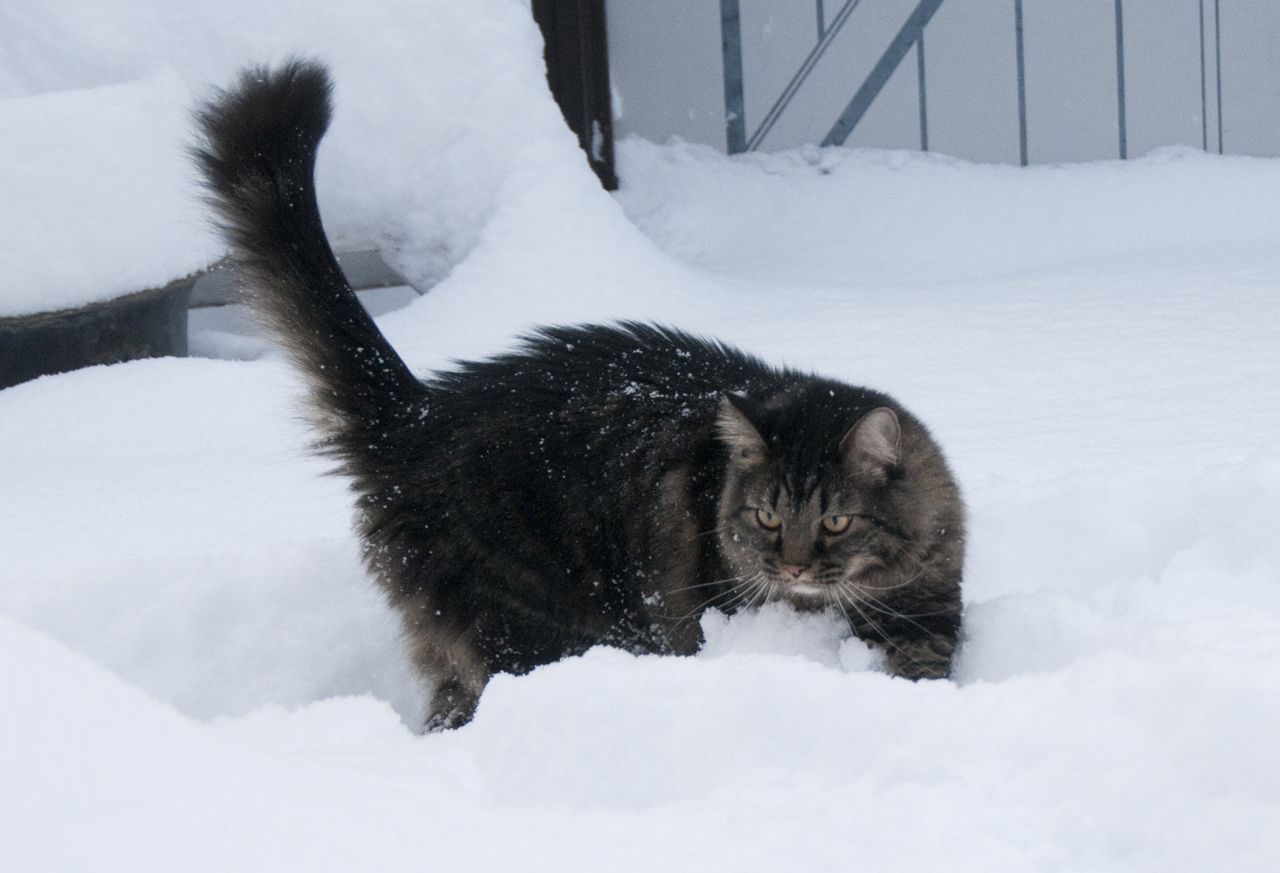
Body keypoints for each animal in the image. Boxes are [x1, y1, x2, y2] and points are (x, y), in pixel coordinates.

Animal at [194, 63, 962, 727]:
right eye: (767, 517)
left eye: (836, 521)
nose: (793, 564)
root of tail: (422, 413)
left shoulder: (930, 609)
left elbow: (929, 656)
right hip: (537, 625)